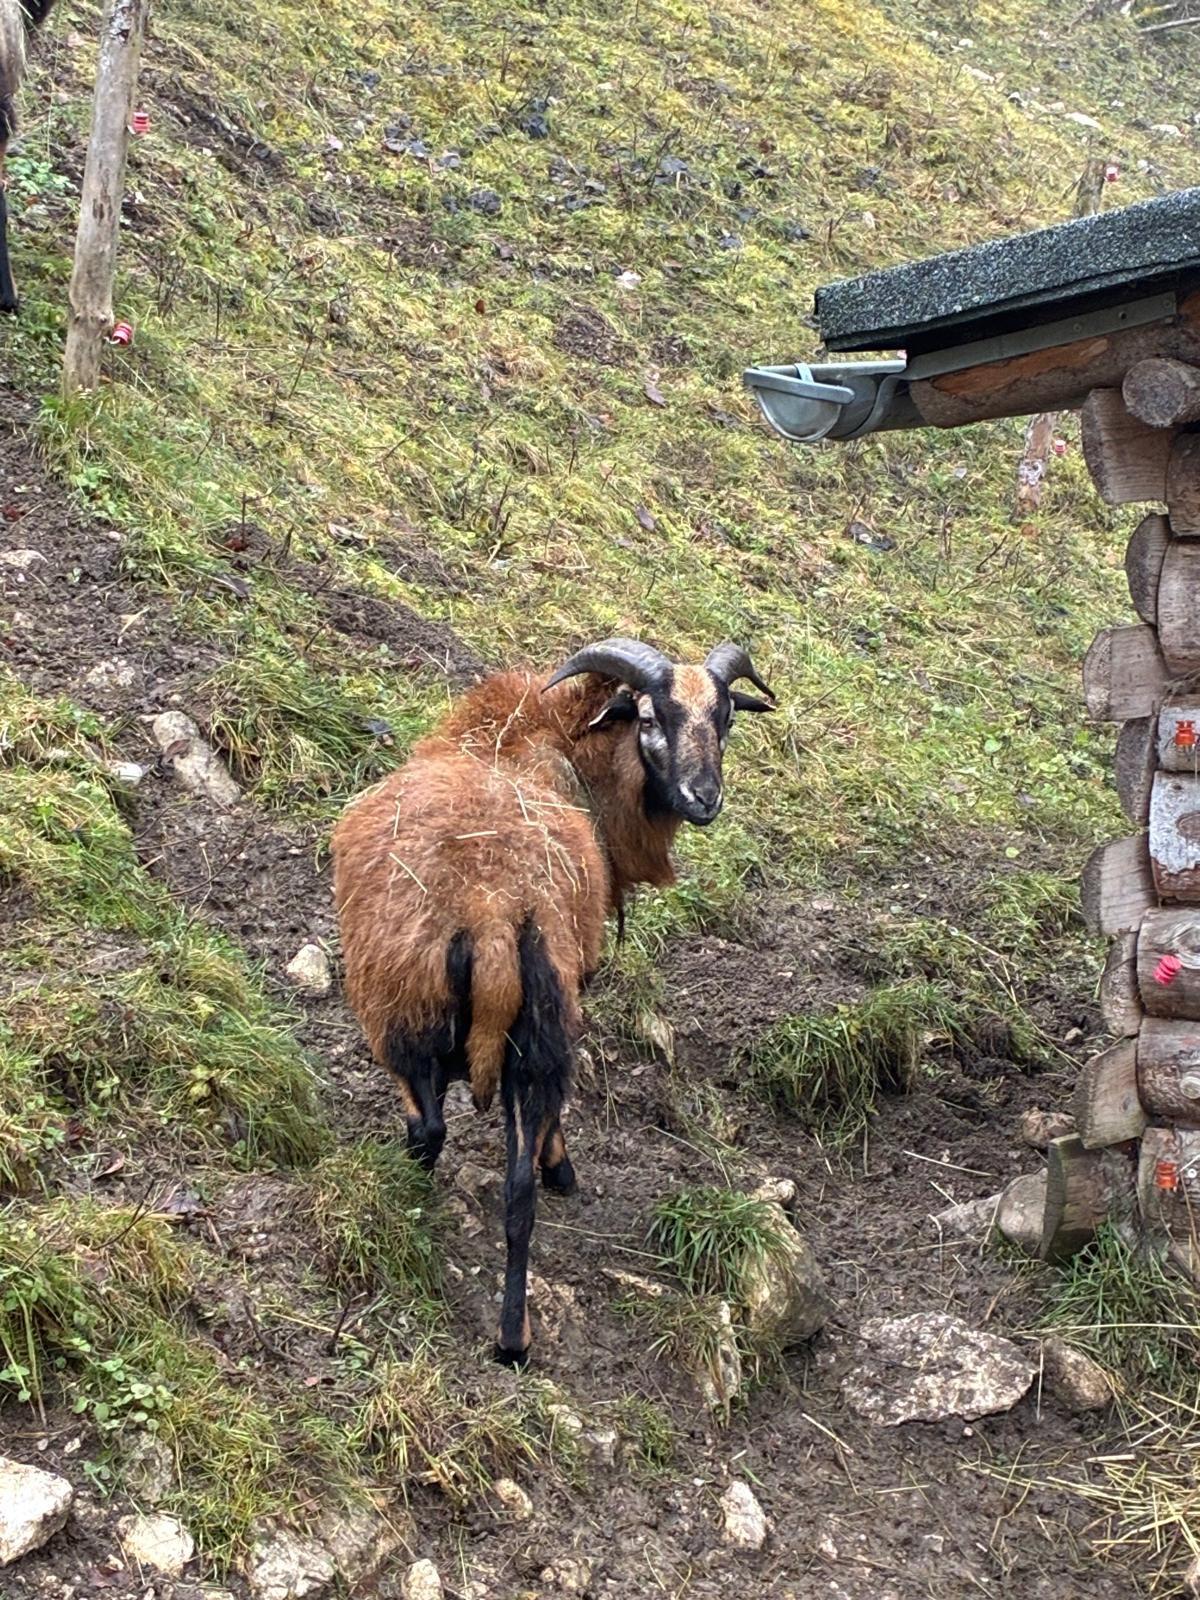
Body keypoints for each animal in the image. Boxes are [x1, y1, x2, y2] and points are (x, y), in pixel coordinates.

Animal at [331, 637, 775, 1365]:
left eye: (727, 718)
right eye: (649, 717)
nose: (703, 798)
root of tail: (488, 914)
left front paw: (557, 1163)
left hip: (413, 1009)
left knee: (434, 1131)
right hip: (485, 1018)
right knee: (509, 1190)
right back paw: (511, 1335)